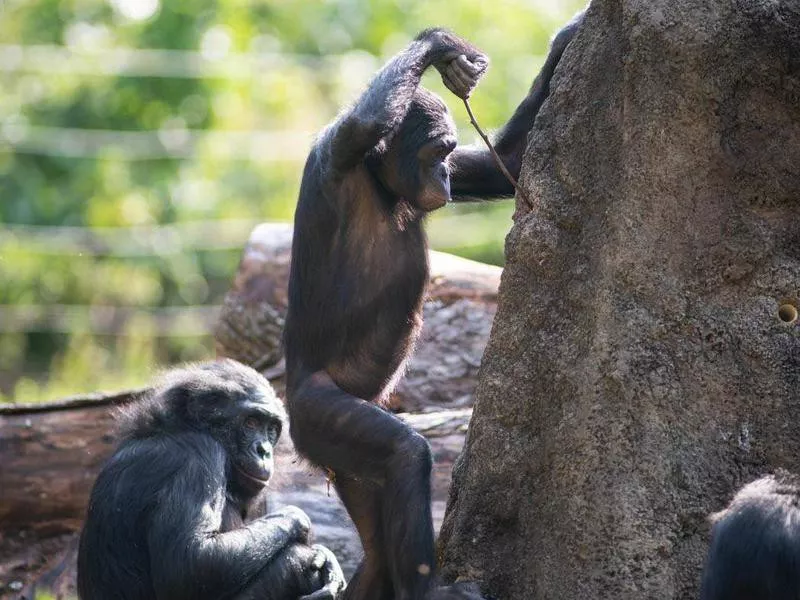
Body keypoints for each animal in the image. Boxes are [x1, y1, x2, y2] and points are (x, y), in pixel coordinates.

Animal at [76, 358, 346, 600]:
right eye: (251, 422)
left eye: (271, 428)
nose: (264, 450)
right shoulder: (200, 459)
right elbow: (193, 561)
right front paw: (298, 519)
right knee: (295, 562)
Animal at [284, 14, 584, 600]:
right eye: (433, 153)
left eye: (449, 155)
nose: (444, 176)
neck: (379, 180)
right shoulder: (340, 150)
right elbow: (368, 117)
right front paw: (442, 47)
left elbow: (505, 161)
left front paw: (572, 32)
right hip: (316, 414)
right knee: (403, 457)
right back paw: (432, 588)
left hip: (347, 467)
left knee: (376, 548)